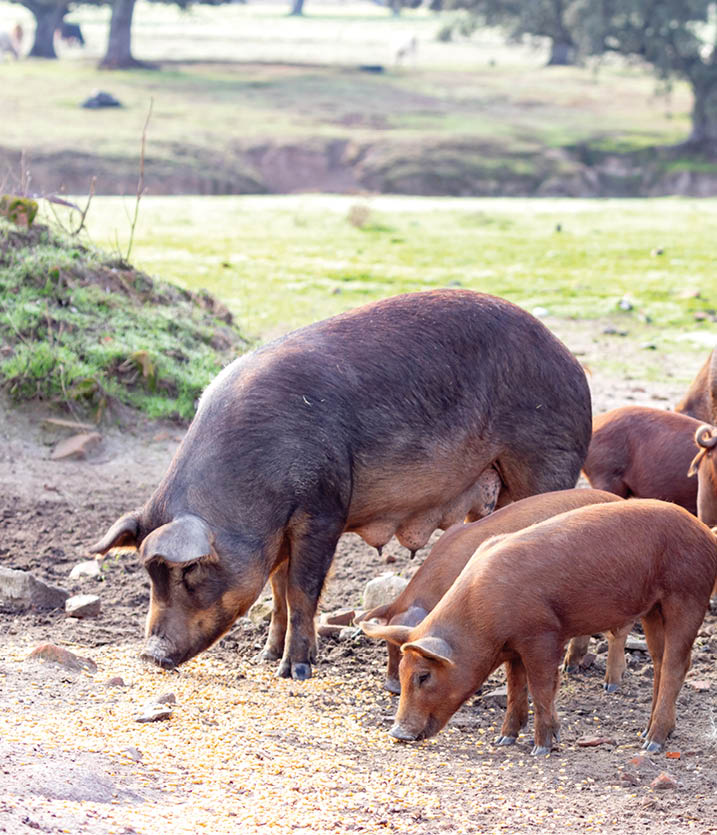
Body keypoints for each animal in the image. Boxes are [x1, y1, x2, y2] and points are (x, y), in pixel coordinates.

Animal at [90, 289, 592, 680]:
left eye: (190, 571)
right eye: (149, 575)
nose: (150, 655)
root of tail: (573, 365)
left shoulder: (324, 507)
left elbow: (302, 588)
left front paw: (294, 670)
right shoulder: (280, 533)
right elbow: (276, 590)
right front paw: (265, 656)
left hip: (545, 462)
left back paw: (572, 667)